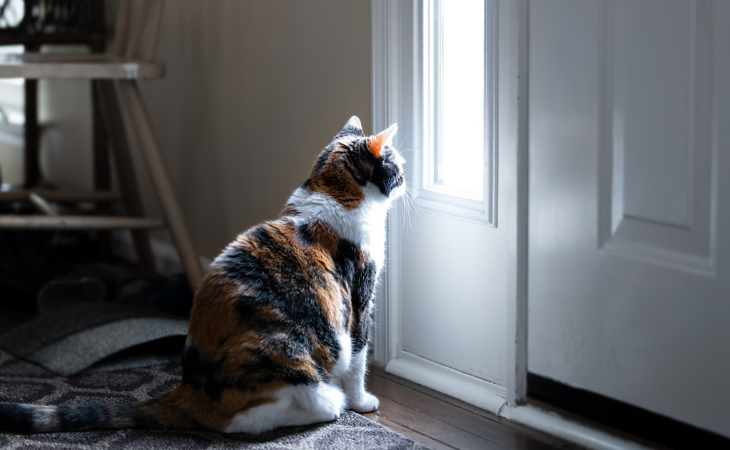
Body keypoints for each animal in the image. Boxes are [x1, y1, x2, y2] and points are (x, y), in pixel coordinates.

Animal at [0, 117, 404, 436]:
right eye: (397, 165)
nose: (405, 180)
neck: (333, 192)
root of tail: (187, 392)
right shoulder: (358, 300)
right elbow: (358, 357)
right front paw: (361, 401)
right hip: (290, 355)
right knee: (248, 419)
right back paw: (330, 404)